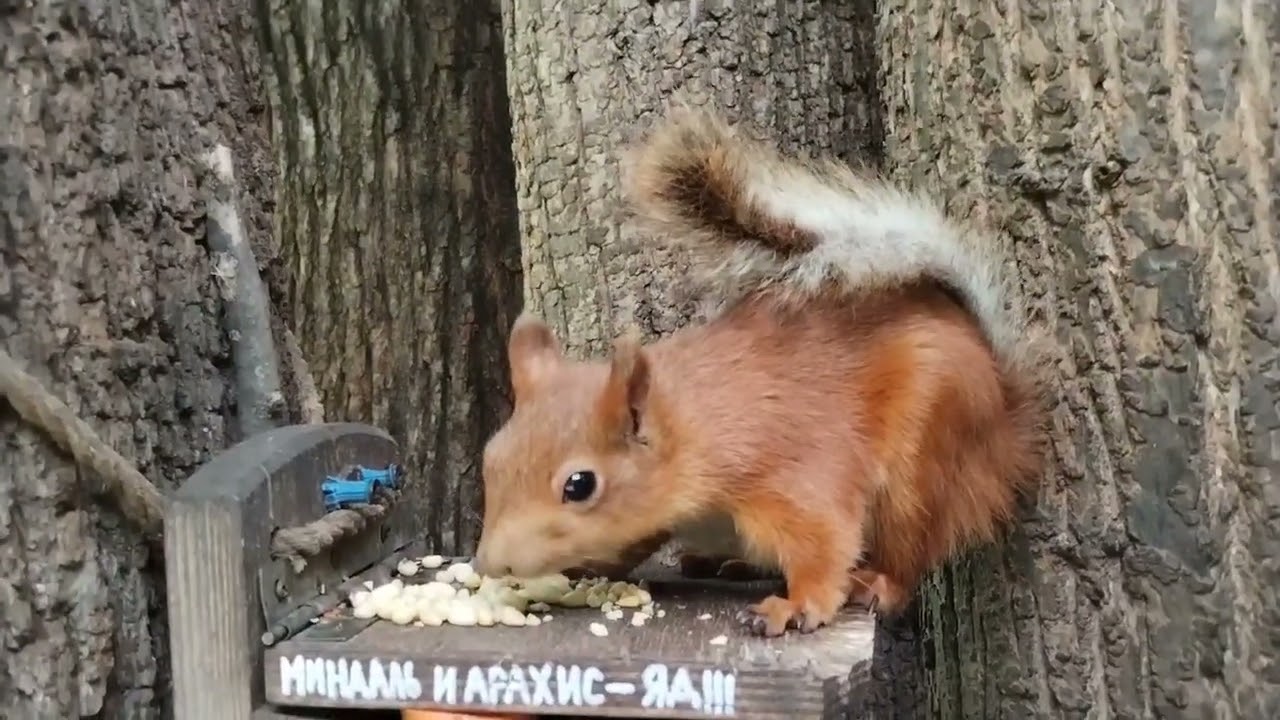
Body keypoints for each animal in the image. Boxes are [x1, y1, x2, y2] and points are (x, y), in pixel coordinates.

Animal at [473, 104, 1051, 637]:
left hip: (926, 459)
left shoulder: (790, 473)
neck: (695, 428)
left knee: (912, 548)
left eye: (580, 485)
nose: (489, 564)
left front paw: (799, 605)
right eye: (491, 458)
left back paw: (879, 583)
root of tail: (1007, 420)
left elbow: (823, 541)